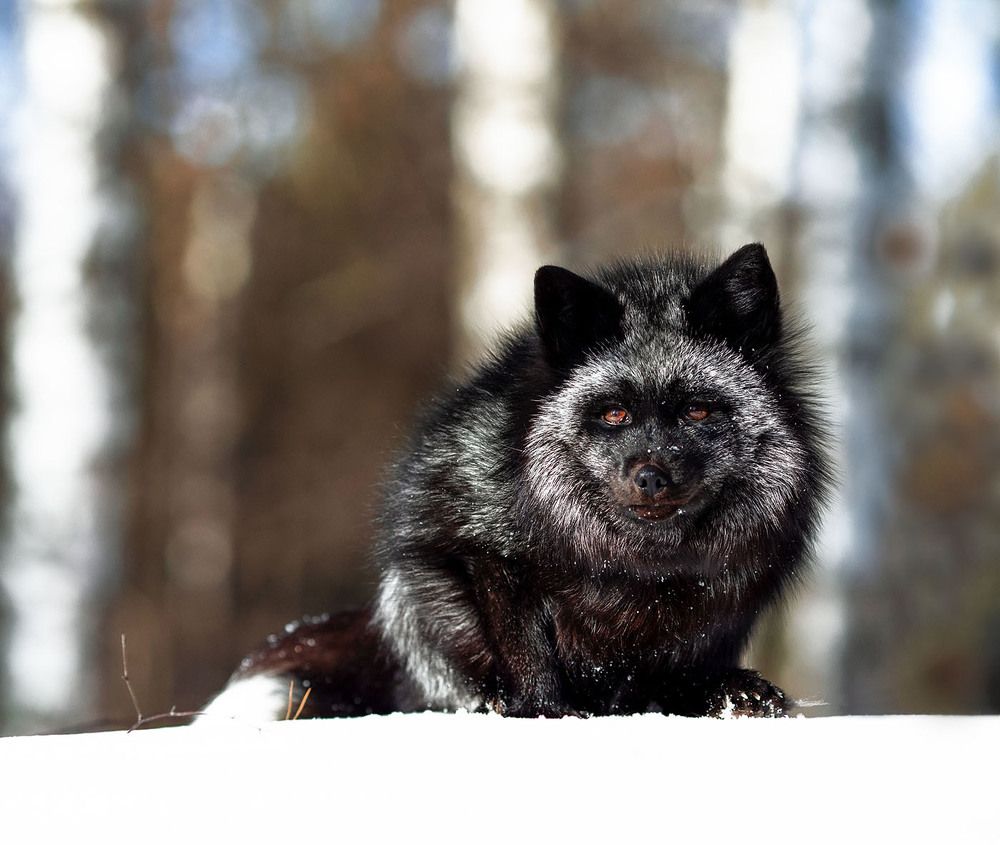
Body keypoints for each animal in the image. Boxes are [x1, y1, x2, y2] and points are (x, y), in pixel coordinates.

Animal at [203, 243, 831, 720]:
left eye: (699, 412)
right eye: (614, 414)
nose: (651, 477)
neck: (639, 568)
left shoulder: (719, 603)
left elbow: (679, 664)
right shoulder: (490, 555)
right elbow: (528, 652)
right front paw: (546, 713)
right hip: (429, 601)